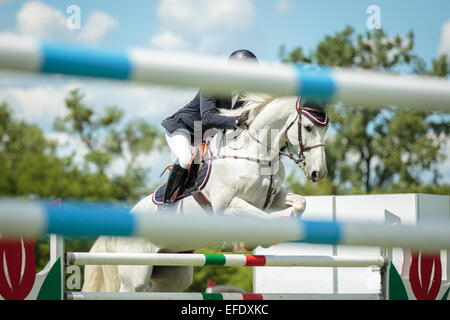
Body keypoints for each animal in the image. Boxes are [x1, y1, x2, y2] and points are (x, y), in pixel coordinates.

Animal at [81, 94, 326, 292]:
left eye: (325, 129)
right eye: (308, 127)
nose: (318, 173)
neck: (256, 154)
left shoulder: (273, 198)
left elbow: (299, 202)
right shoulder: (227, 206)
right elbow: (263, 219)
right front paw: (245, 243)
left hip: (171, 271)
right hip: (135, 274)